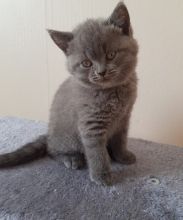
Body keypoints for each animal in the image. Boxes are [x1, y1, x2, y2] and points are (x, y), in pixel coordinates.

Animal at [0, 2, 137, 186]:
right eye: (86, 63)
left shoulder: (124, 118)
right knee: (52, 150)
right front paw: (101, 175)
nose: (101, 72)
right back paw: (71, 158)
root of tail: (49, 134)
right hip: (65, 138)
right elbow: (96, 151)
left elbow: (120, 139)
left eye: (111, 55)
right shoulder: (90, 123)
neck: (112, 91)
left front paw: (122, 156)